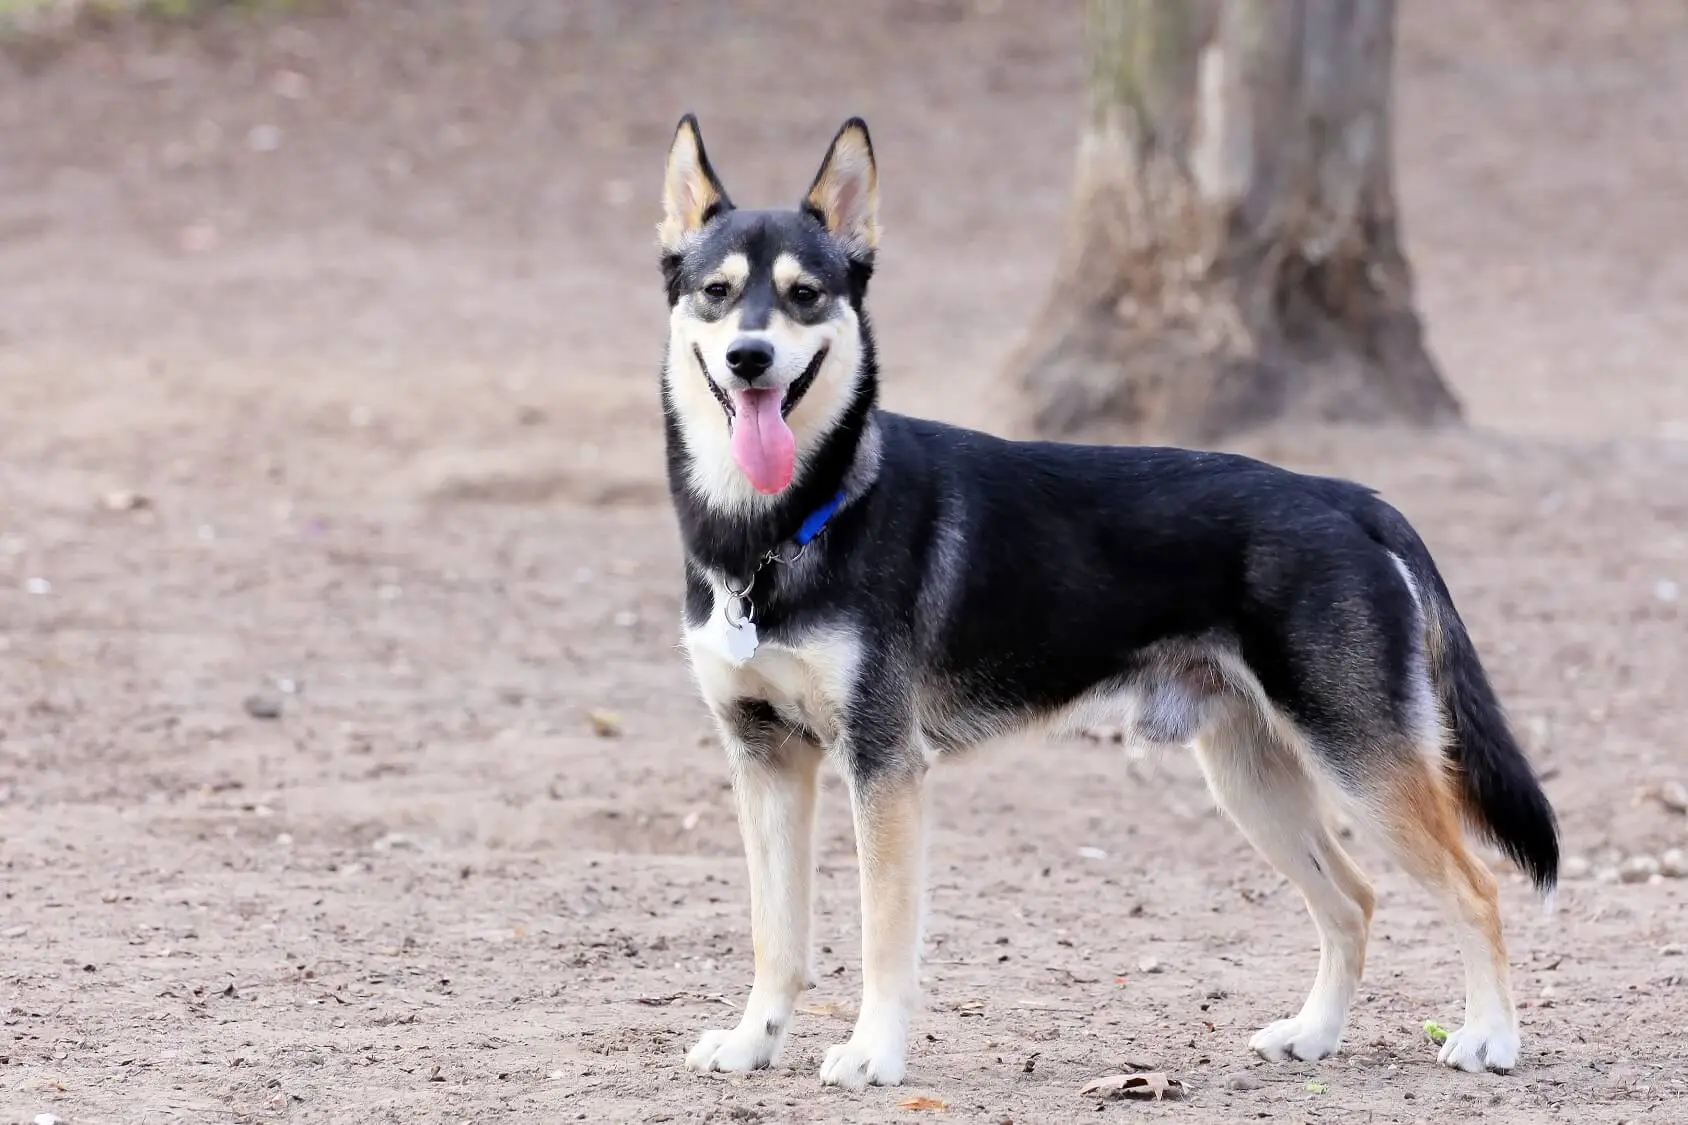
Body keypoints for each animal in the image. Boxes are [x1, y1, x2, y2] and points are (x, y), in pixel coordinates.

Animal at [654, 115, 1552, 1087]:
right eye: (717, 292)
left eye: (805, 295)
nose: (750, 358)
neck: (783, 527)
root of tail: (1345, 496)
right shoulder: (765, 759)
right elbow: (775, 934)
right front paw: (752, 1041)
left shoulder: (883, 765)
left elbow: (883, 934)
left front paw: (872, 1051)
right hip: (1253, 777)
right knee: (1354, 899)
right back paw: (1313, 1033)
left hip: (1363, 764)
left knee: (1476, 887)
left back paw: (1490, 1037)